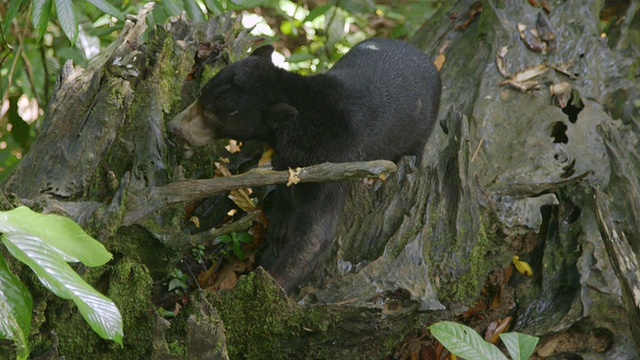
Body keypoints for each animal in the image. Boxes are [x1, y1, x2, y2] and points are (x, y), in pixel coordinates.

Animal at [168, 38, 442, 292]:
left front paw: (271, 282)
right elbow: (286, 191)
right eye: (201, 96)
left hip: (421, 129)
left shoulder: (334, 160)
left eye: (211, 115)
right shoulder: (287, 158)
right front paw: (278, 232)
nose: (173, 126)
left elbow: (315, 233)